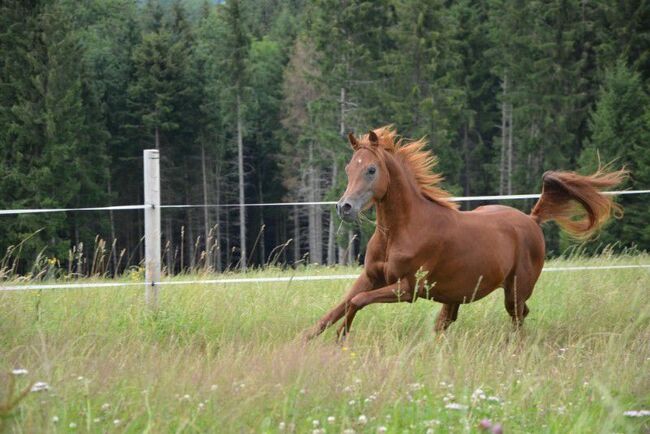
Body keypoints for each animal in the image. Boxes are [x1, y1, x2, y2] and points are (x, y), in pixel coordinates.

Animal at [306, 127, 624, 340]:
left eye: (371, 170)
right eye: (349, 168)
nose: (344, 207)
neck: (400, 231)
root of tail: (532, 220)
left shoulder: (408, 289)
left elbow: (356, 303)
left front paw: (342, 337)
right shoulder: (371, 277)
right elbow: (336, 309)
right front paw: (307, 341)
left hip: (515, 290)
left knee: (519, 317)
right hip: (456, 296)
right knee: (448, 323)